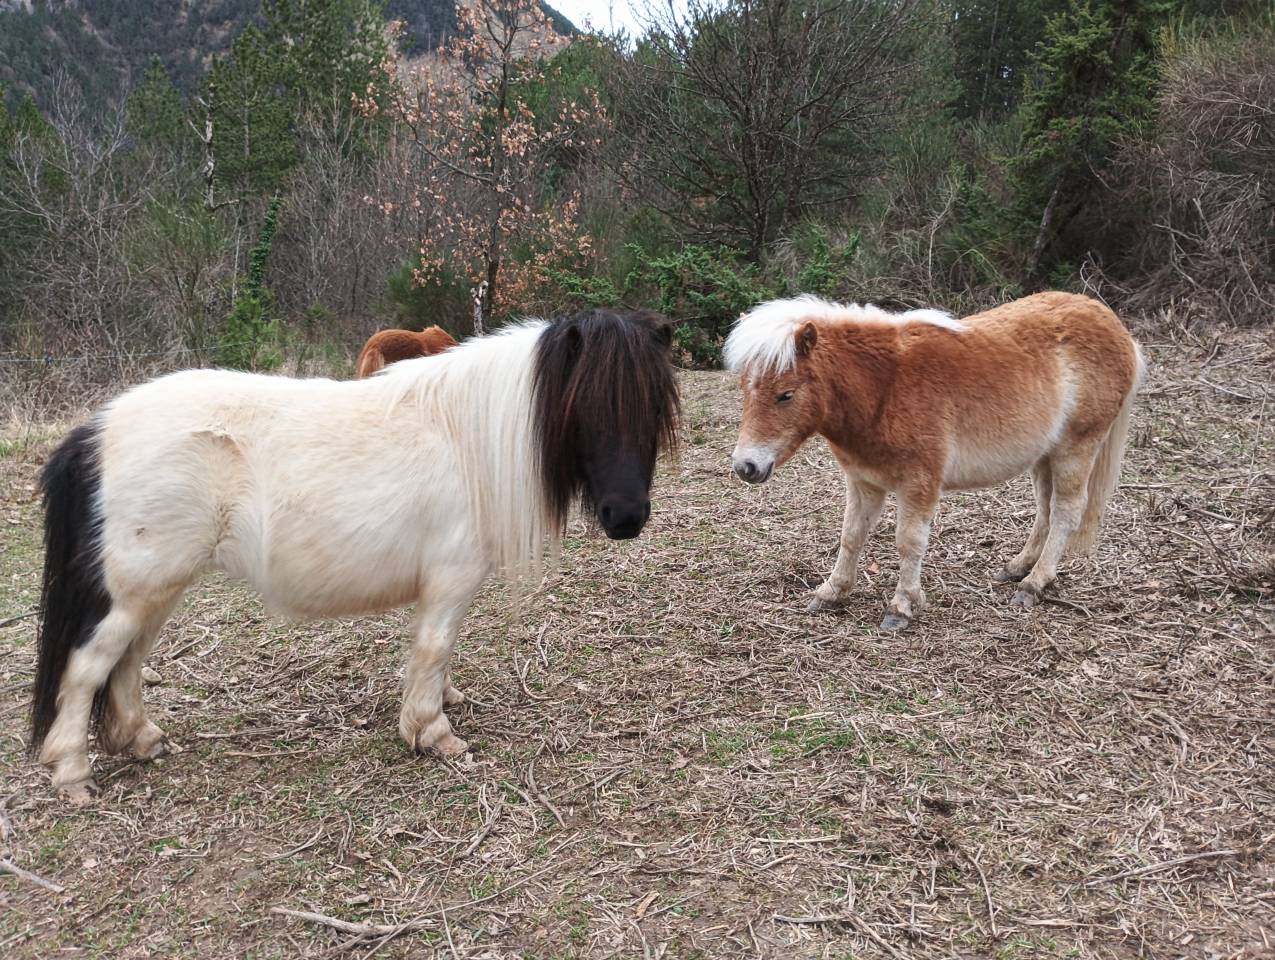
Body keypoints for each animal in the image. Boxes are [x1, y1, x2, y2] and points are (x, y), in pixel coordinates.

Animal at [31, 309, 679, 801]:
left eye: (652, 408)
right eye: (584, 407)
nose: (627, 517)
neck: (464, 437)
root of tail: (95, 432)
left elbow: (435, 655)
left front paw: (443, 701)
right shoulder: (450, 581)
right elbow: (434, 647)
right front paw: (432, 732)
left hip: (154, 591)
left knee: (127, 663)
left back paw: (141, 740)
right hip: (134, 592)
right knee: (87, 668)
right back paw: (72, 773)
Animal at [725, 292, 1144, 631]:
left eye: (786, 394)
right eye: (745, 389)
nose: (746, 467)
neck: (885, 389)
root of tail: (1117, 329)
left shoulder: (919, 485)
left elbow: (909, 542)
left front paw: (902, 607)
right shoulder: (864, 482)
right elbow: (851, 536)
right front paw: (831, 592)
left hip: (1076, 448)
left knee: (1066, 512)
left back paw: (1034, 584)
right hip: (1044, 455)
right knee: (1045, 509)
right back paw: (1017, 568)